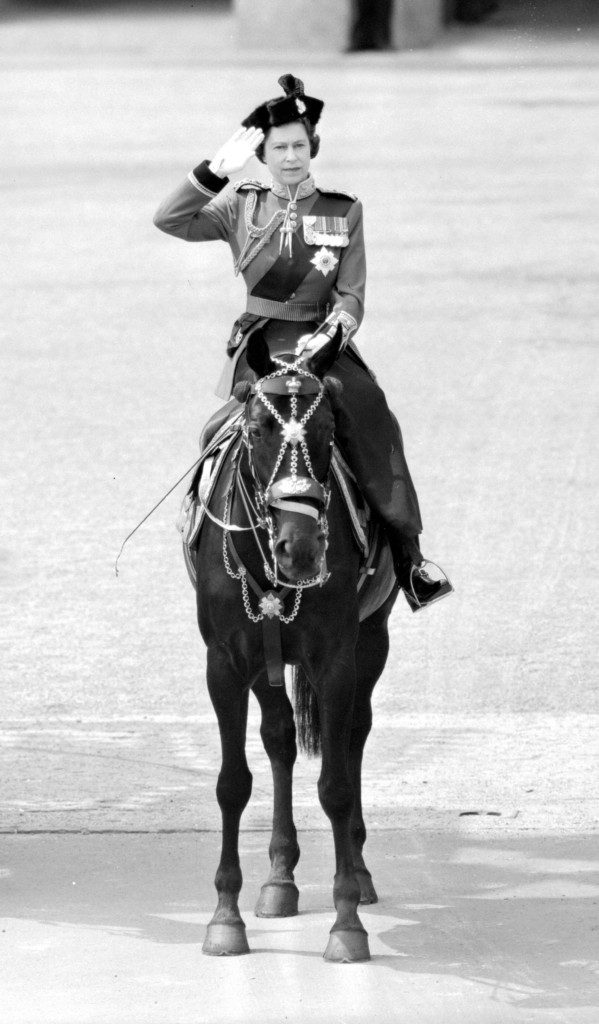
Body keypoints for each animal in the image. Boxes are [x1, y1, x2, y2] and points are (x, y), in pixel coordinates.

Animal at [191, 331, 397, 962]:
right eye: (258, 427)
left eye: (331, 427)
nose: (301, 549)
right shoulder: (226, 663)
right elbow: (233, 783)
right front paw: (225, 917)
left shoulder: (335, 660)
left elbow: (335, 783)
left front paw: (346, 922)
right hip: (267, 659)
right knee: (280, 738)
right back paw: (280, 877)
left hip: (371, 641)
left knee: (352, 737)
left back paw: (359, 871)